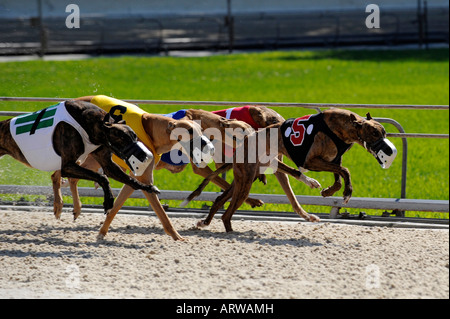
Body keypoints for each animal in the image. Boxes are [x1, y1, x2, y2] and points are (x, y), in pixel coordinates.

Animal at [0, 100, 160, 218]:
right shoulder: (68, 166)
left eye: (135, 137)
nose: (145, 156)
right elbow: (102, 177)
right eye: (123, 139)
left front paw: (148, 187)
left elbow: (127, 179)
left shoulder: (105, 161)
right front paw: (108, 201)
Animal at [188, 109, 396, 234]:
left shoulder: (333, 159)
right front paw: (347, 193)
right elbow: (345, 171)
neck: (342, 126)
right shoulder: (312, 161)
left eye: (384, 132)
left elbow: (339, 176)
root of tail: (244, 143)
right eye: (375, 133)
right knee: (227, 213)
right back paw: (229, 230)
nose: (389, 150)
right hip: (246, 182)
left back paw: (205, 222)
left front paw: (331, 191)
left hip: (244, 178)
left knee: (220, 199)